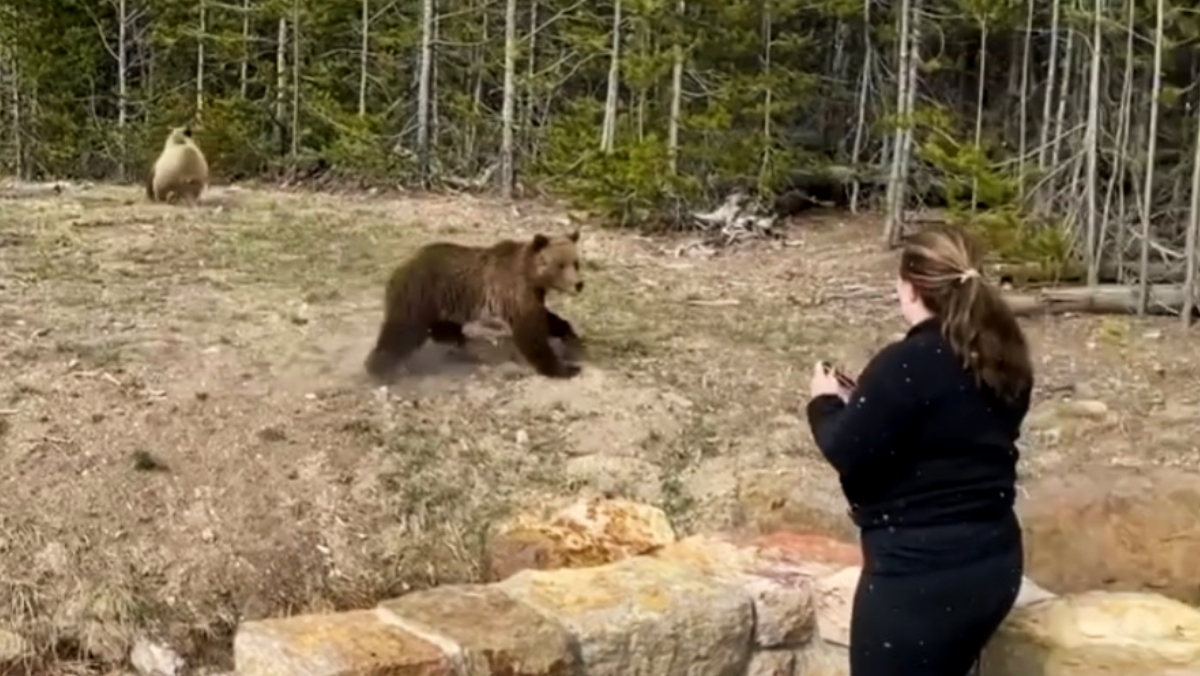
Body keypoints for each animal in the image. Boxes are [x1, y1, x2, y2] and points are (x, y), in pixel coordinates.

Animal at [367, 230, 588, 381]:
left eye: (576, 263)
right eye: (560, 265)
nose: (578, 284)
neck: (531, 277)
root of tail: (399, 270)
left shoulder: (529, 297)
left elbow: (547, 319)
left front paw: (572, 338)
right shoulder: (513, 292)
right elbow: (531, 334)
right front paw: (566, 368)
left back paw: (459, 340)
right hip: (421, 295)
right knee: (402, 330)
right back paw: (379, 367)